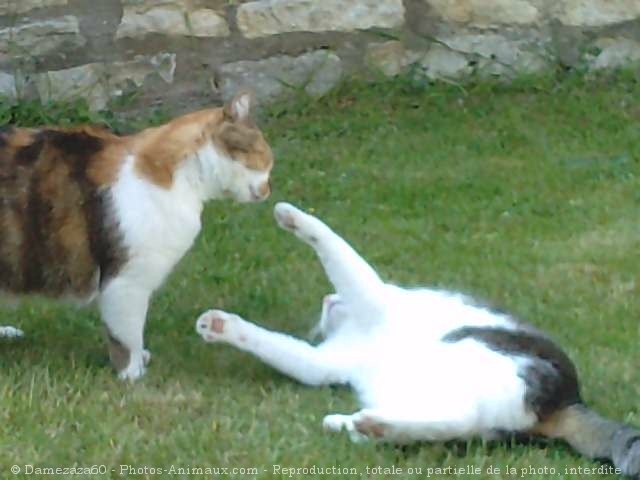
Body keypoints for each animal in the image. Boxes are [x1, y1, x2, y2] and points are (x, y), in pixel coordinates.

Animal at [200, 202, 640, 476]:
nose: (327, 299)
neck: (358, 328)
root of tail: (569, 399)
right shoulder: (324, 364)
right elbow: (281, 349)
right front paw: (220, 326)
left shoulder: (376, 297)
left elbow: (337, 250)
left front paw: (292, 216)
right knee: (451, 423)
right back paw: (359, 425)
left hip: (473, 354)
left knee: (460, 418)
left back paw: (363, 424)